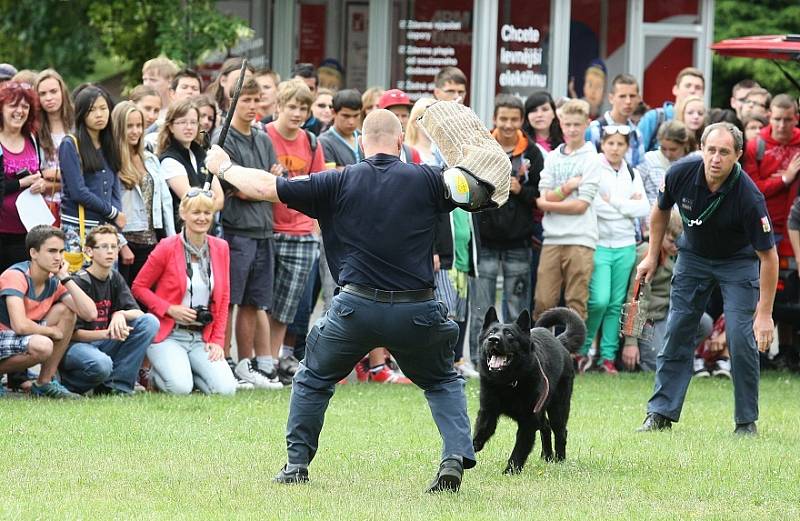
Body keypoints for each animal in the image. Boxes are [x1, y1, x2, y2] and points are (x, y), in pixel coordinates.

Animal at [472, 306, 584, 474]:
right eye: (491, 332)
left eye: (509, 334)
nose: (493, 340)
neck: (507, 383)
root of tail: (559, 341)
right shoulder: (488, 411)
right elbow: (481, 431)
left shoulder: (528, 420)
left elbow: (519, 449)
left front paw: (510, 471)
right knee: (546, 427)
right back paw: (547, 457)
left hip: (558, 408)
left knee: (560, 431)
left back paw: (559, 459)